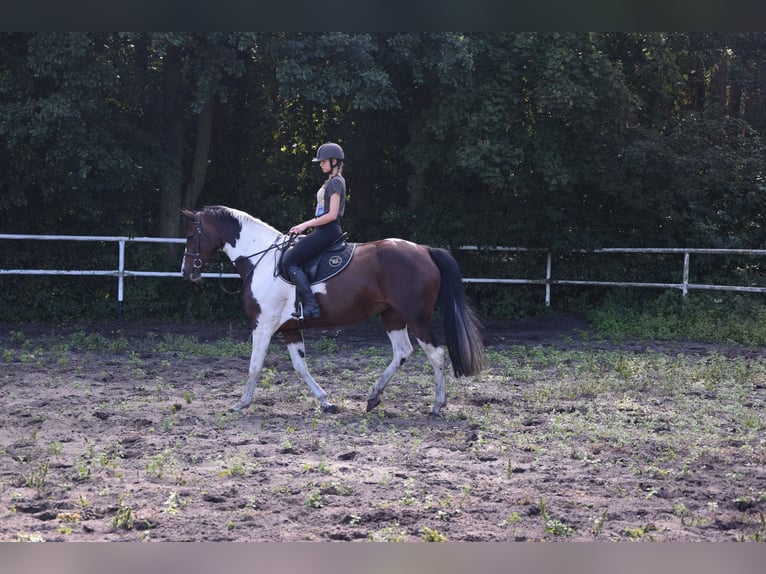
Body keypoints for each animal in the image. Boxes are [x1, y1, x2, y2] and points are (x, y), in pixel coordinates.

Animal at [180, 205, 484, 416]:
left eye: (191, 235)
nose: (186, 272)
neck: (262, 259)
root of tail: (425, 250)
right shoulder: (290, 329)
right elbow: (300, 367)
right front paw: (326, 402)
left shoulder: (263, 324)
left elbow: (255, 365)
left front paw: (240, 404)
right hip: (392, 316)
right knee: (402, 352)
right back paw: (373, 396)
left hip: (416, 317)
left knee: (436, 355)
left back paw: (436, 405)